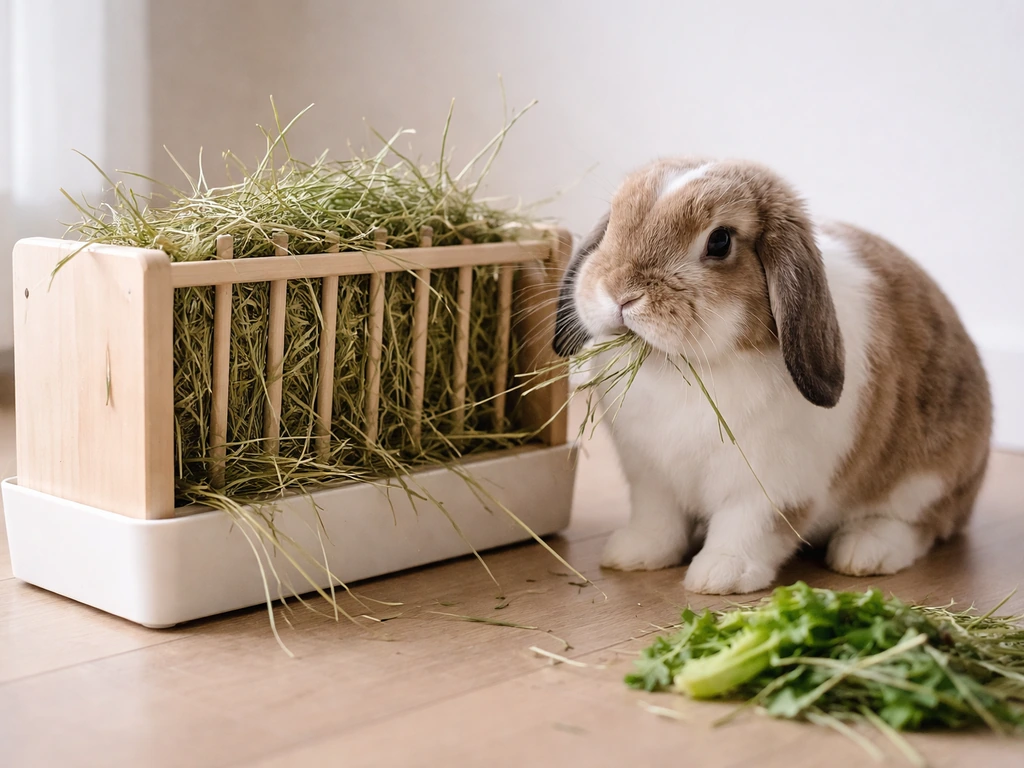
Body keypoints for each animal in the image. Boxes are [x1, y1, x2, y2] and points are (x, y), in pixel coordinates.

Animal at [552, 158, 992, 595]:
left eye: (720, 241)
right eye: (614, 222)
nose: (620, 294)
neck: (684, 365)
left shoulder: (770, 488)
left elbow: (748, 528)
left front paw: (719, 576)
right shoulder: (650, 477)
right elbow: (657, 521)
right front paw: (633, 555)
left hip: (926, 481)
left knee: (922, 524)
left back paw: (865, 552)